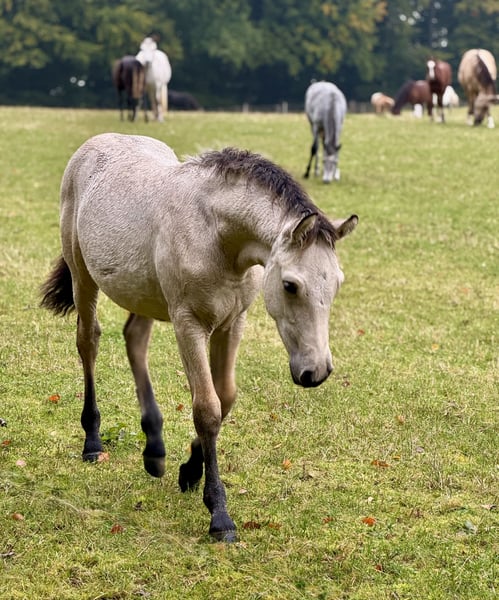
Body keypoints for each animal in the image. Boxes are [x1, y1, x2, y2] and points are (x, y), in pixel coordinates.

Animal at [40, 133, 358, 542]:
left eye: (337, 283)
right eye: (290, 285)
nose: (315, 372)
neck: (215, 235)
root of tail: (95, 143)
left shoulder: (232, 323)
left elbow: (226, 397)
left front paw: (189, 471)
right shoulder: (188, 325)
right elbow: (207, 408)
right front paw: (219, 513)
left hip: (143, 294)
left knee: (134, 341)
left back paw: (154, 451)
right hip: (83, 277)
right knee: (88, 342)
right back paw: (93, 442)